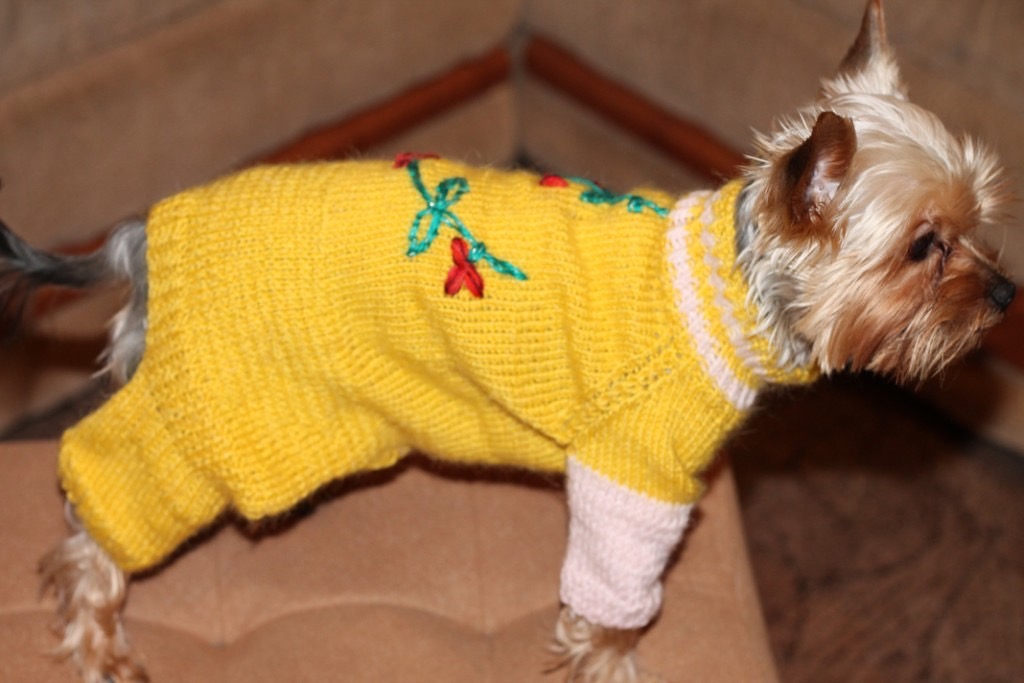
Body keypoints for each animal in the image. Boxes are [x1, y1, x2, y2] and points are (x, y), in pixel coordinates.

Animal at [0, 1, 1015, 681]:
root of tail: (141, 238)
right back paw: (97, 642)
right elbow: (612, 602)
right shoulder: (634, 473)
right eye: (924, 248)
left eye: (977, 221)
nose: (1007, 294)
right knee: (98, 501)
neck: (733, 281)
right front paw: (607, 661)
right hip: (227, 412)